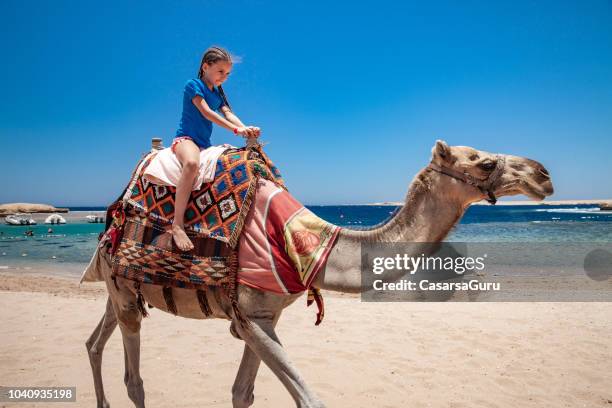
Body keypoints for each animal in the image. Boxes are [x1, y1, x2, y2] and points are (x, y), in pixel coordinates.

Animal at [85, 141, 556, 408]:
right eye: (485, 163)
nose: (544, 174)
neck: (308, 244)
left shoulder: (263, 316)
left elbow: (242, 394)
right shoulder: (249, 316)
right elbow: (310, 400)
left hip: (116, 287)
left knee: (94, 342)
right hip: (124, 294)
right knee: (134, 378)